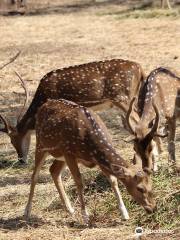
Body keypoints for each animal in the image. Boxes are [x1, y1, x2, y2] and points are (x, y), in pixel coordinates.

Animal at [23, 98, 155, 224]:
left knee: (53, 170)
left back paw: (70, 209)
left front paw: (125, 214)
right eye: (140, 188)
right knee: (34, 176)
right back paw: (27, 212)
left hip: (60, 155)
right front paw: (85, 217)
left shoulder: (98, 160)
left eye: (151, 185)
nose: (153, 208)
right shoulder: (69, 153)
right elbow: (79, 182)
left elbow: (113, 180)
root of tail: (44, 105)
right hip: (41, 145)